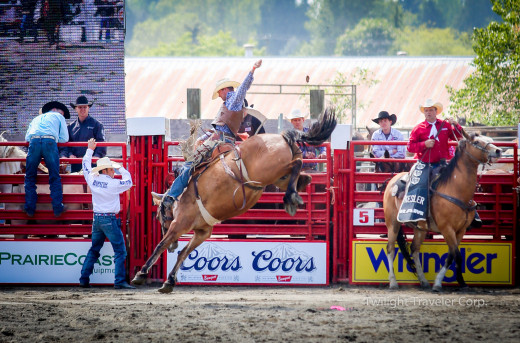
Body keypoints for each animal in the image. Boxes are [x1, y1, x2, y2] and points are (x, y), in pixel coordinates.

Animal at [128, 109, 336, 294]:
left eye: (158, 217)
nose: (173, 247)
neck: (180, 197)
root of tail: (282, 137)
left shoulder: (179, 224)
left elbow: (161, 244)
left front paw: (140, 274)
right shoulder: (203, 232)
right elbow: (184, 253)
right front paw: (169, 281)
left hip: (271, 169)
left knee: (296, 165)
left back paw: (290, 197)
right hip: (278, 176)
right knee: (303, 176)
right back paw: (294, 194)